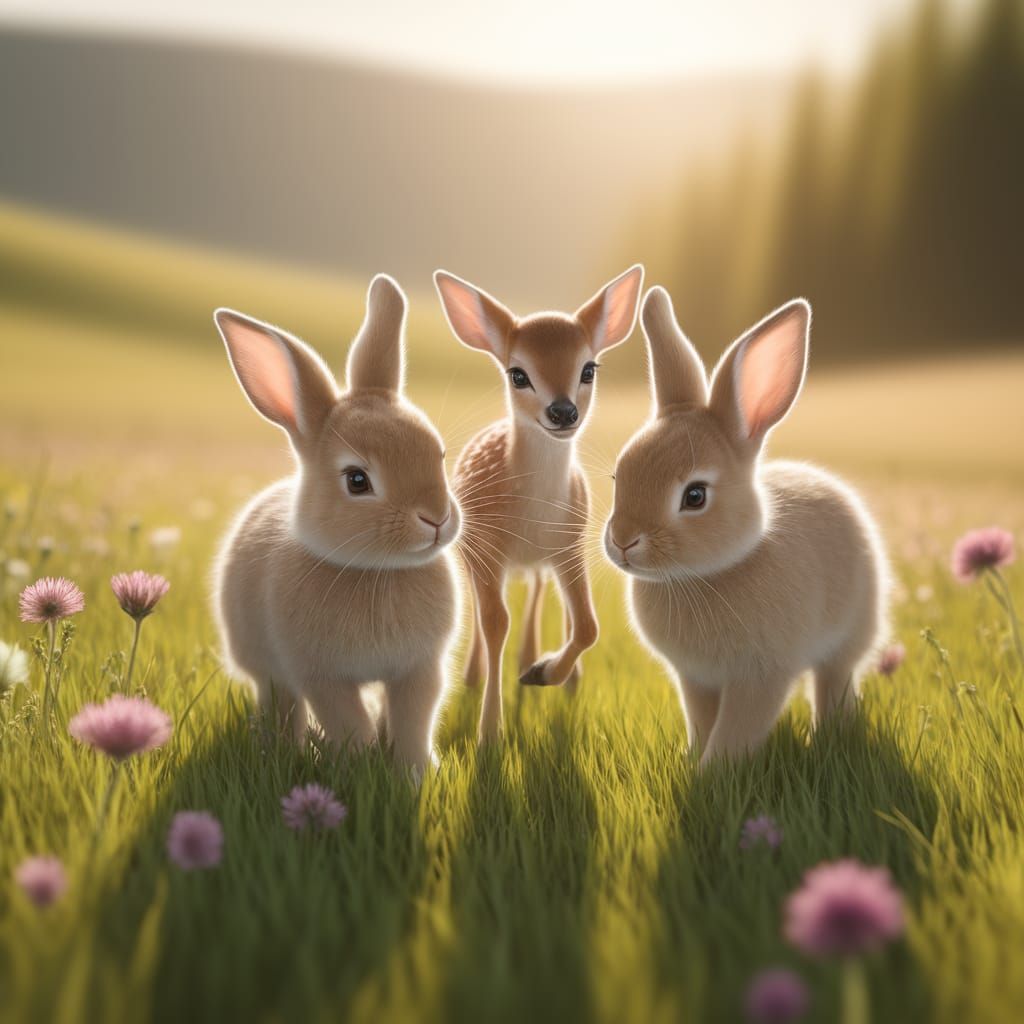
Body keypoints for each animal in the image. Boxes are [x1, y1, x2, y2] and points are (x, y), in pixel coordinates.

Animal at [212, 274, 461, 772]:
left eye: (439, 453)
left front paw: (413, 774)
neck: (378, 572)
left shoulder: (419, 669)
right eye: (357, 480)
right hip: (267, 668)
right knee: (280, 705)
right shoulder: (321, 675)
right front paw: (361, 772)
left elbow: (413, 722)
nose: (437, 518)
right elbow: (349, 724)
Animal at [433, 265, 644, 741]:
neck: (532, 515)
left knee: (540, 592)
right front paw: (489, 733)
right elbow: (495, 622)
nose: (563, 412)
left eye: (589, 368)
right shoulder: (488, 546)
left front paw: (542, 673)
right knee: (485, 609)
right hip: (471, 549)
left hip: (546, 558)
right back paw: (475, 676)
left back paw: (544, 666)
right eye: (518, 374)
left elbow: (588, 624)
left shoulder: (569, 545)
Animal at [603, 286, 890, 764]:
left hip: (849, 634)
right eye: (617, 478)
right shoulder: (695, 678)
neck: (706, 575)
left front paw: (713, 772)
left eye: (695, 496)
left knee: (834, 681)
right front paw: (693, 759)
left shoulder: (760, 677)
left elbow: (736, 732)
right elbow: (702, 722)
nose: (624, 542)